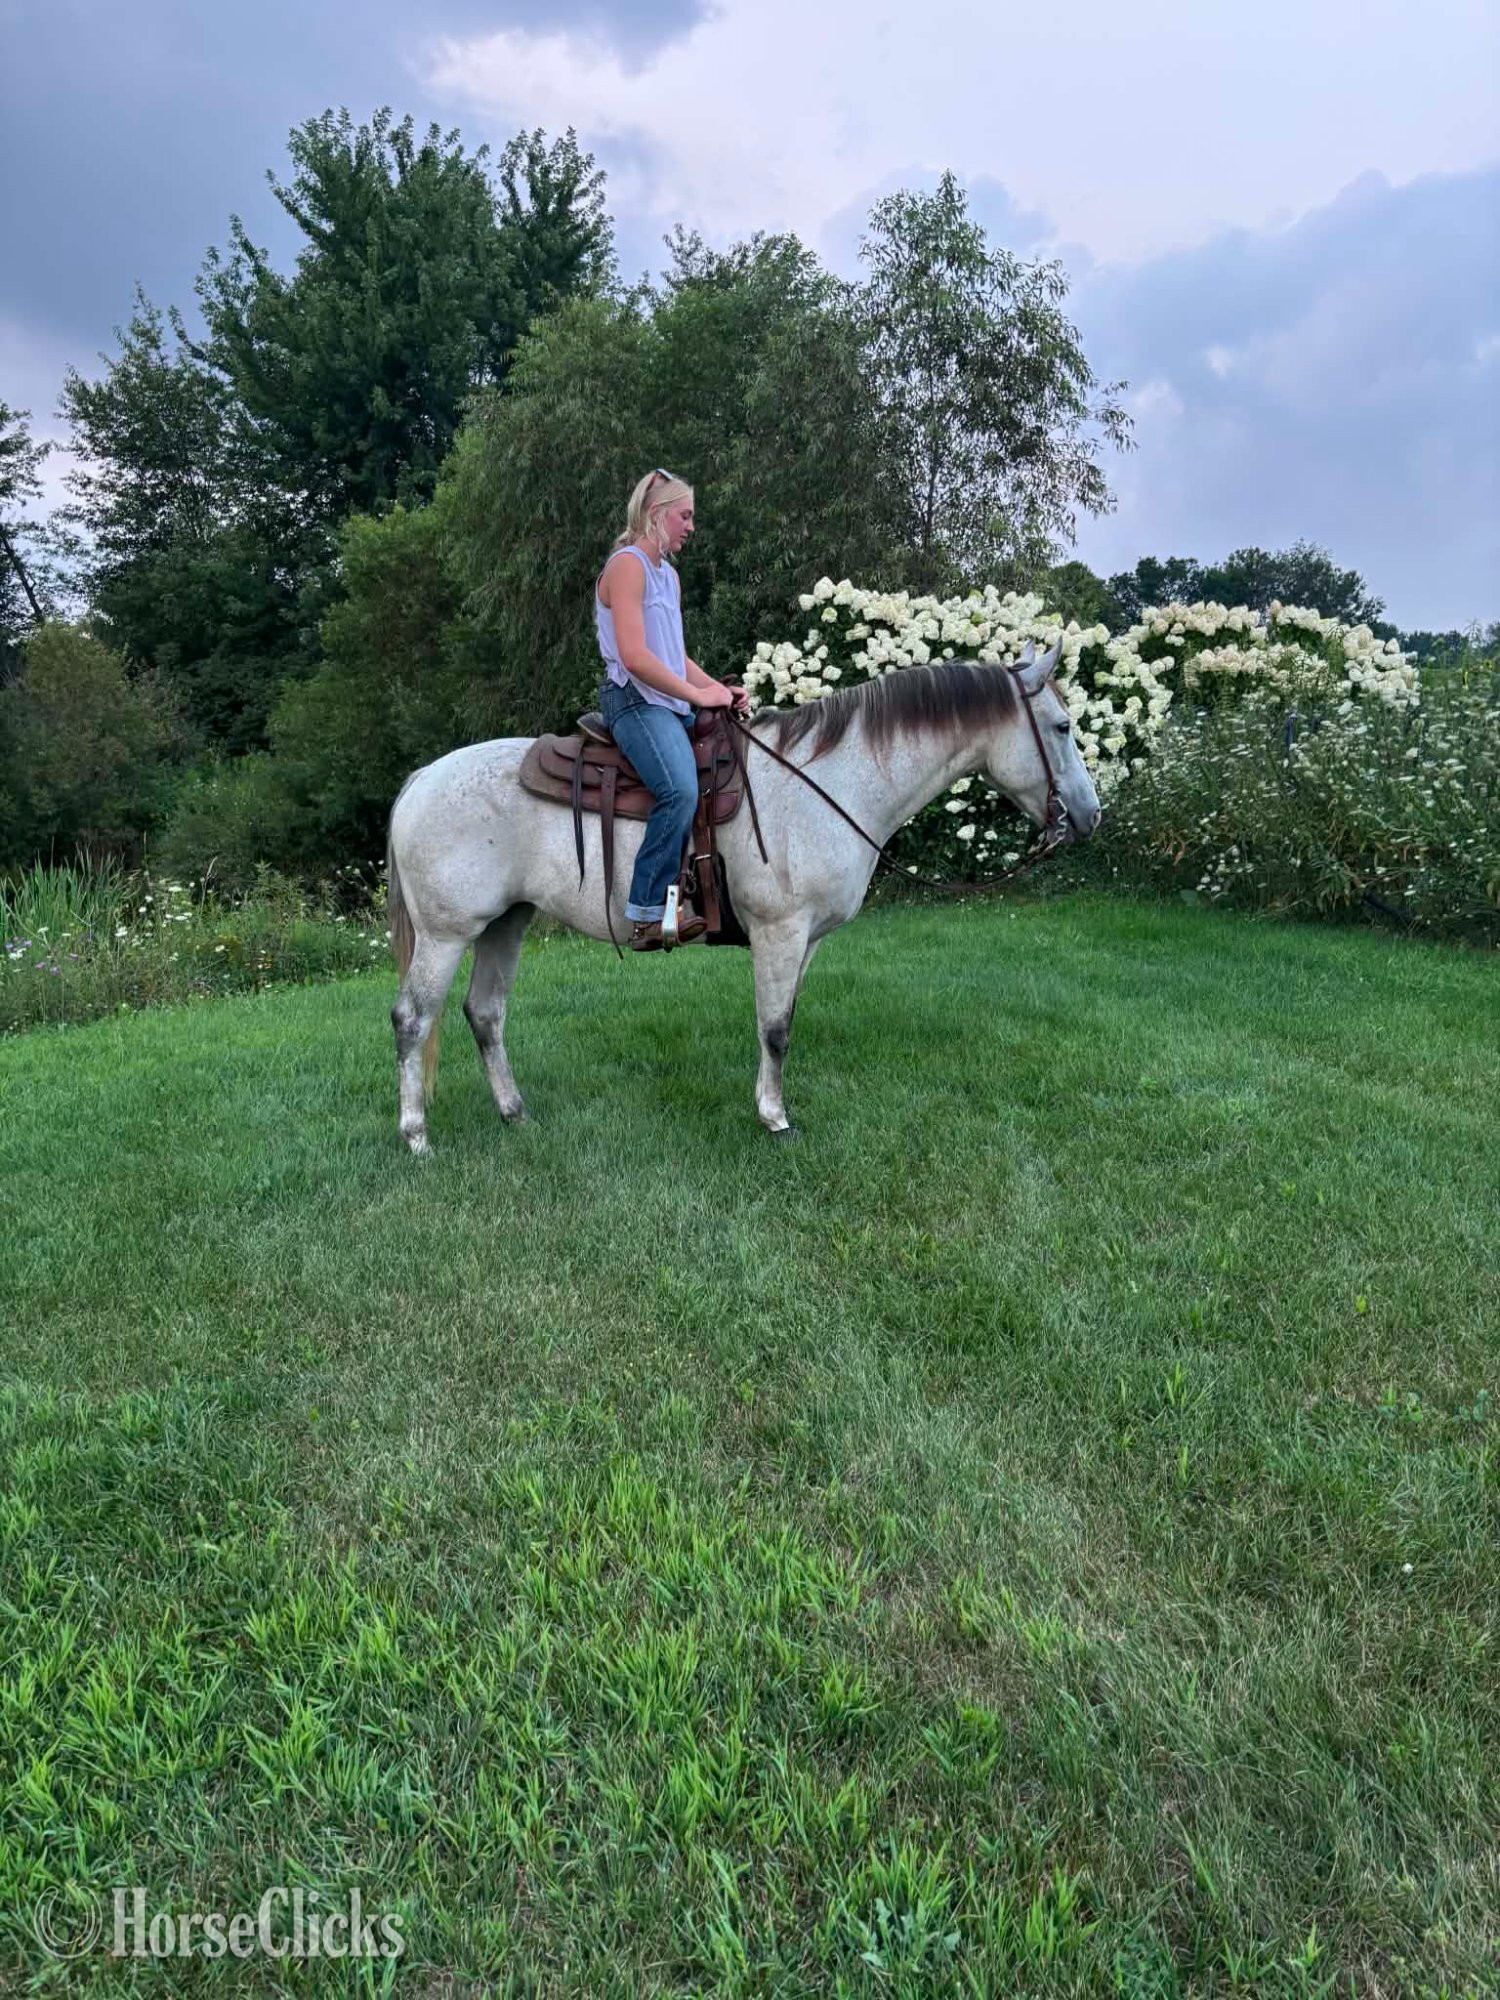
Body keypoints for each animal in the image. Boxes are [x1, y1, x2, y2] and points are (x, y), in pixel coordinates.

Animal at [386, 639, 1099, 1153]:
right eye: (1063, 727)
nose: (1090, 817)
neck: (828, 782)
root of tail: (421, 778)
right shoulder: (780, 931)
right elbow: (775, 1028)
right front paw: (775, 1119)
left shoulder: (805, 941)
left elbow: (781, 1024)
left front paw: (771, 1105)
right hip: (447, 934)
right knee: (412, 1019)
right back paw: (417, 1137)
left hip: (506, 923)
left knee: (485, 1014)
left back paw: (514, 1114)